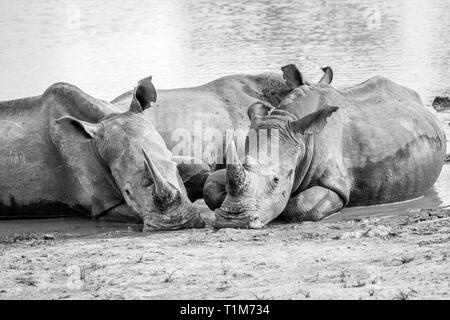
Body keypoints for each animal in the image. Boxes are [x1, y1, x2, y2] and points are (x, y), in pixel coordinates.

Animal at [0, 79, 204, 231]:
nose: (177, 223)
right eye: (127, 193)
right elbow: (131, 214)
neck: (106, 119)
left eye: (175, 170)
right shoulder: (102, 206)